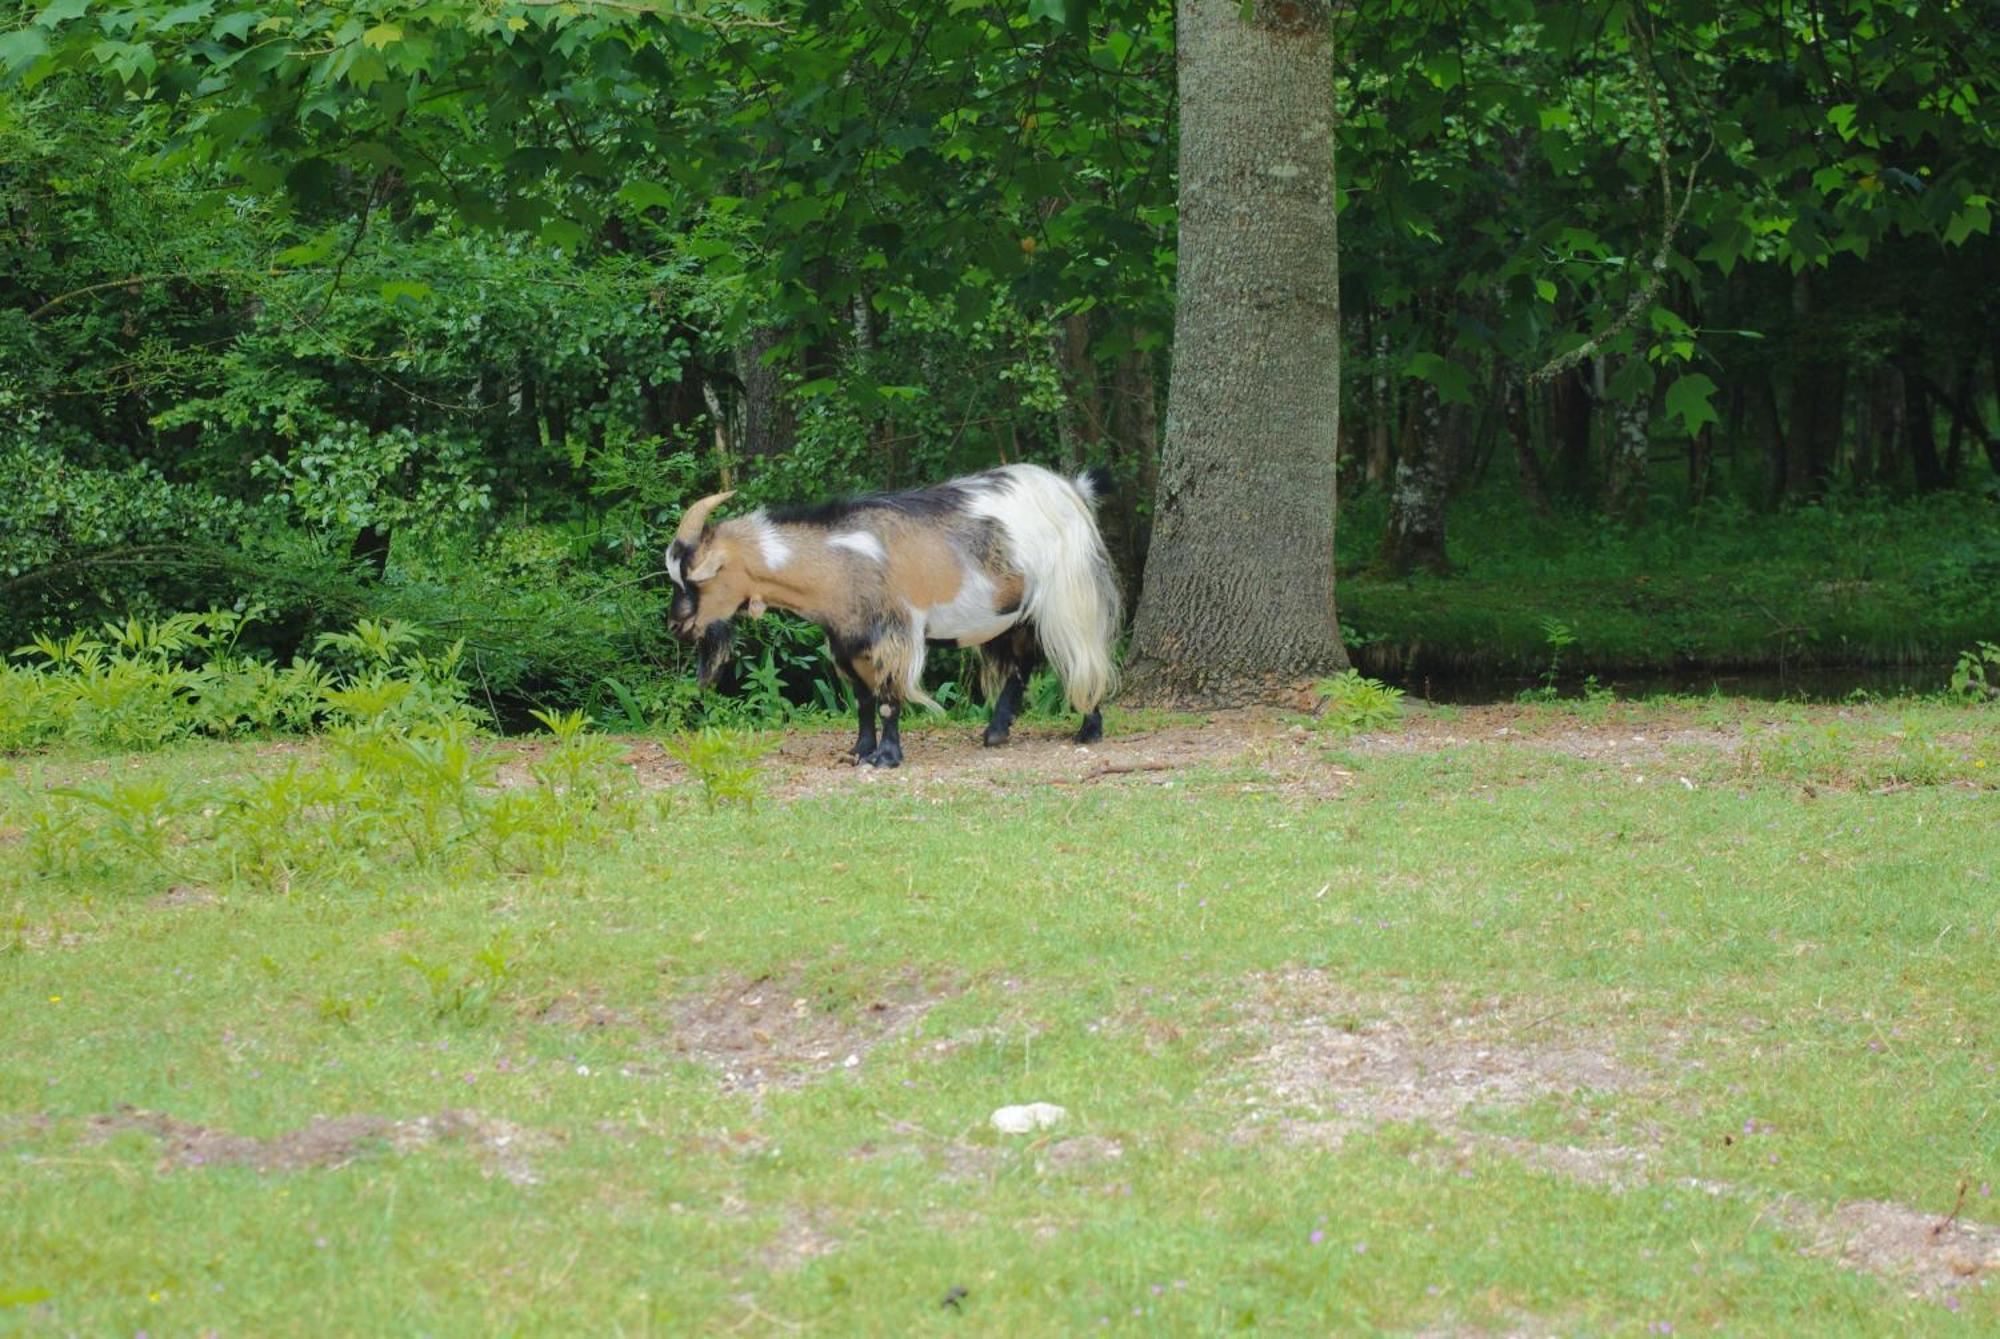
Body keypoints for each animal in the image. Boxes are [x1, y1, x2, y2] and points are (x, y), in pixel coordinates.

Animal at [664, 467, 1120, 771]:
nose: (676, 626)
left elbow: (887, 699)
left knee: (1083, 654)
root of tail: (1070, 488)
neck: (836, 560)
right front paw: (859, 751)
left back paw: (1089, 728)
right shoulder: (845, 640)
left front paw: (886, 757)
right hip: (1015, 613)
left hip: (1067, 594)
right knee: (1023, 663)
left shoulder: (893, 635)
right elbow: (863, 702)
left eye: (695, 580)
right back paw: (996, 732)